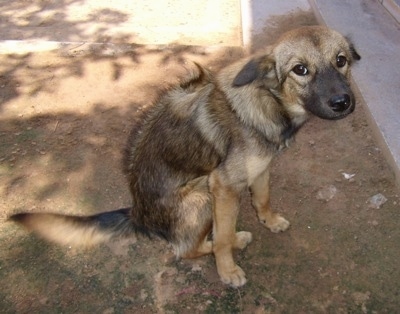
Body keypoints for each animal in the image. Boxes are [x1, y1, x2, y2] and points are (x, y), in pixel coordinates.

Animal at [10, 26, 360, 288]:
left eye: (341, 60)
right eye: (300, 70)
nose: (343, 102)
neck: (268, 99)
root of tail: (138, 214)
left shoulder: (261, 169)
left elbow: (262, 198)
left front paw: (270, 221)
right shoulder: (224, 186)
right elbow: (221, 238)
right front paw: (227, 270)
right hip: (201, 197)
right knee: (187, 249)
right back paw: (230, 241)